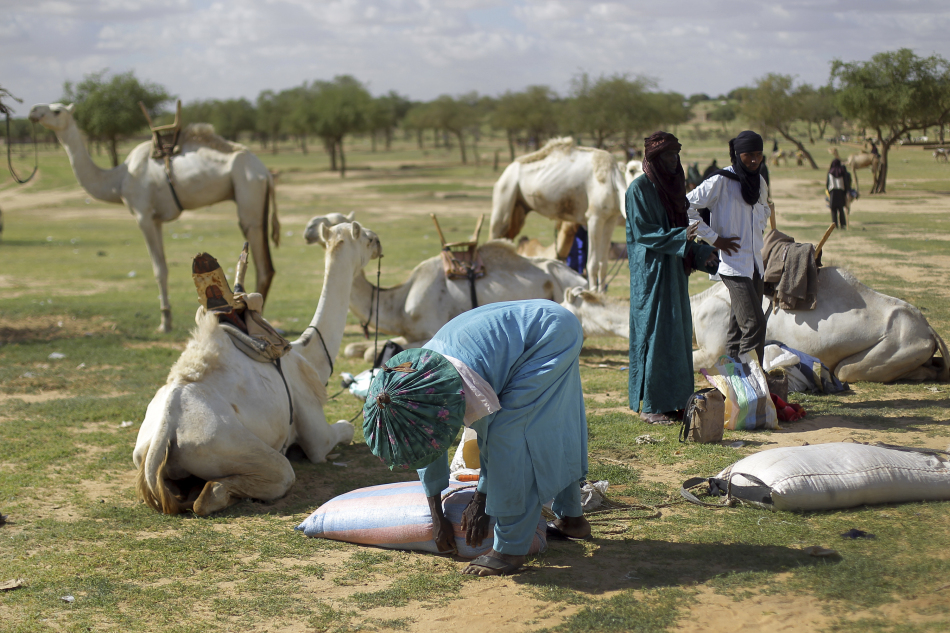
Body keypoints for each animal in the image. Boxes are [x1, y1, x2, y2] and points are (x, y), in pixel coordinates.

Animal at [28, 102, 278, 330]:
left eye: (56, 110)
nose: (33, 111)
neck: (118, 180)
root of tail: (265, 172)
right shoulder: (156, 219)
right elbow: (163, 267)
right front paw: (166, 318)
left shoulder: (144, 216)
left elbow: (159, 269)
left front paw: (165, 322)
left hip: (248, 193)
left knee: (262, 263)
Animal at [488, 138, 628, 292]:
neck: (613, 181)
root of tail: (507, 170)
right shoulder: (594, 217)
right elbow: (592, 263)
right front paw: (593, 294)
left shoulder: (610, 219)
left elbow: (603, 264)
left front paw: (602, 294)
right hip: (505, 193)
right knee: (495, 233)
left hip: (519, 209)